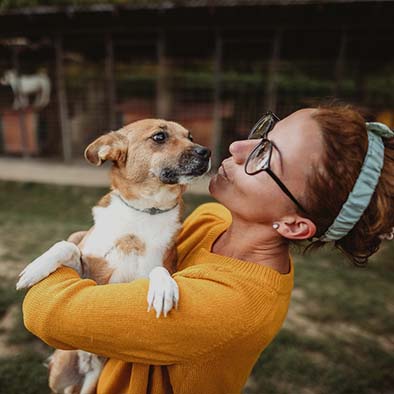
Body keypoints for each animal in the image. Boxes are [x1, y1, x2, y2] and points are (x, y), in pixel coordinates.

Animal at [16, 118, 211, 392]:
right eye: (159, 137)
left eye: (190, 136)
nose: (207, 152)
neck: (146, 210)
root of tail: (87, 361)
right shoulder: (88, 274)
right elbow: (67, 246)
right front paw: (36, 267)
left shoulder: (158, 265)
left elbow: (158, 268)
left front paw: (163, 288)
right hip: (59, 374)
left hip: (93, 376)